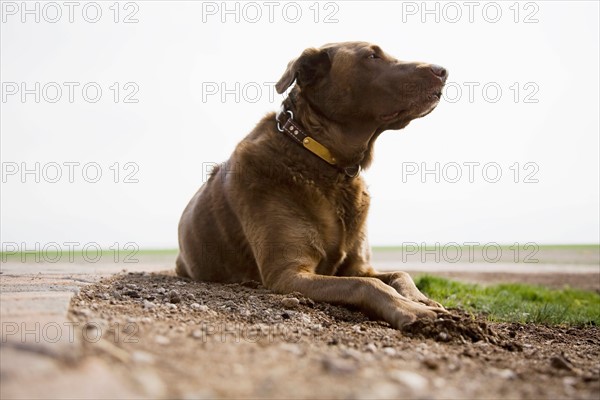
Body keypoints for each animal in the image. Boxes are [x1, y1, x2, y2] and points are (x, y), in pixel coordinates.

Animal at [178, 41, 450, 328]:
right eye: (371, 56)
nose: (442, 70)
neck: (327, 164)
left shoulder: (358, 265)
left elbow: (399, 273)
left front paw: (421, 299)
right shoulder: (287, 274)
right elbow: (365, 284)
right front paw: (413, 310)